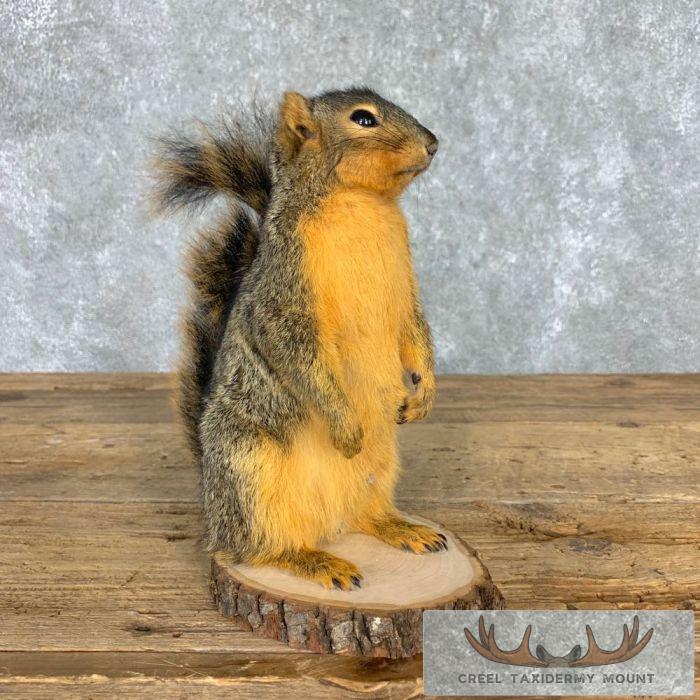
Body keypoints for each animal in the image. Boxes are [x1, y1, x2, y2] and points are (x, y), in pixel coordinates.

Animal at [152, 87, 445, 590]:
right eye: (363, 119)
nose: (432, 144)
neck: (361, 204)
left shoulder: (406, 290)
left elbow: (415, 330)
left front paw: (424, 392)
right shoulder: (284, 293)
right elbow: (295, 350)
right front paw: (345, 427)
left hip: (381, 463)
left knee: (364, 516)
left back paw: (401, 528)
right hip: (249, 469)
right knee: (261, 547)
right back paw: (314, 561)